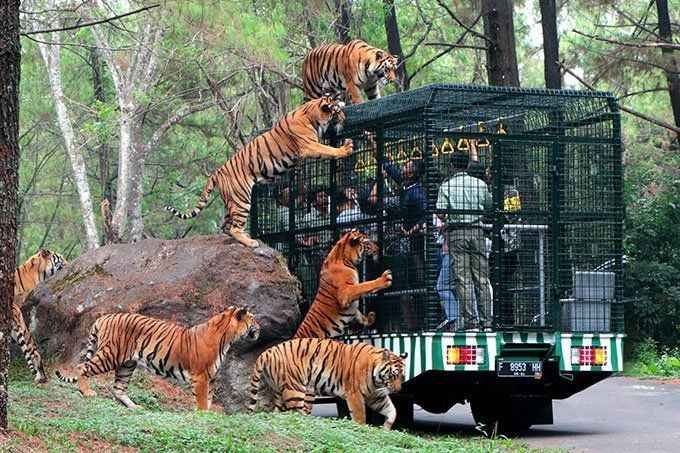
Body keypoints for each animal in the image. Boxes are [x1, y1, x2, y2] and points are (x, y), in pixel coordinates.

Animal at [54, 308, 258, 410]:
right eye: (253, 319)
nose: (261, 327)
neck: (228, 337)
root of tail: (103, 318)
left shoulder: (211, 378)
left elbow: (208, 400)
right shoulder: (201, 377)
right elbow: (201, 401)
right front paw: (201, 417)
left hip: (127, 364)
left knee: (118, 388)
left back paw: (135, 407)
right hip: (110, 355)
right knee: (82, 367)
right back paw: (87, 392)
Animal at [251, 338, 406, 430]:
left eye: (402, 377)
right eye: (393, 375)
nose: (398, 390)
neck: (377, 381)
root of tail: (267, 352)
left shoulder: (375, 396)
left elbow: (392, 410)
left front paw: (386, 428)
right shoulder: (355, 394)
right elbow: (360, 416)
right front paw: (361, 430)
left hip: (280, 392)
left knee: (278, 413)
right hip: (294, 389)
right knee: (296, 414)